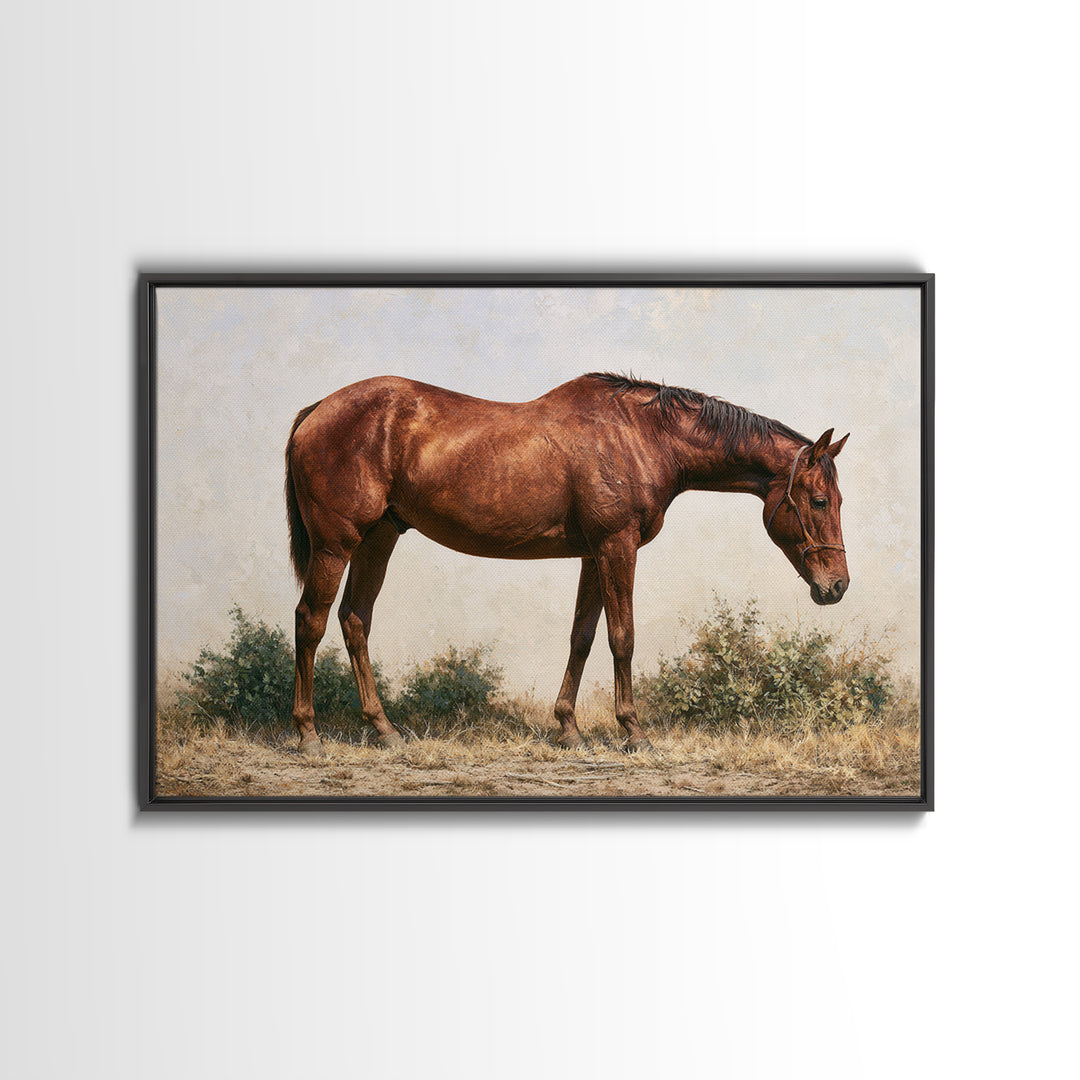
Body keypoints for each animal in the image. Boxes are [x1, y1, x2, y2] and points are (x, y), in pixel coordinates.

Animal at [284, 372, 849, 755]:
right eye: (820, 501)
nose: (838, 586)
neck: (642, 436)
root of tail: (317, 409)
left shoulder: (594, 554)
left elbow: (582, 636)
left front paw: (569, 728)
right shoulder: (617, 546)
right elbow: (622, 636)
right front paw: (633, 732)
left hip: (378, 538)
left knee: (355, 621)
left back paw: (385, 730)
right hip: (336, 545)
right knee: (311, 621)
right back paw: (309, 734)